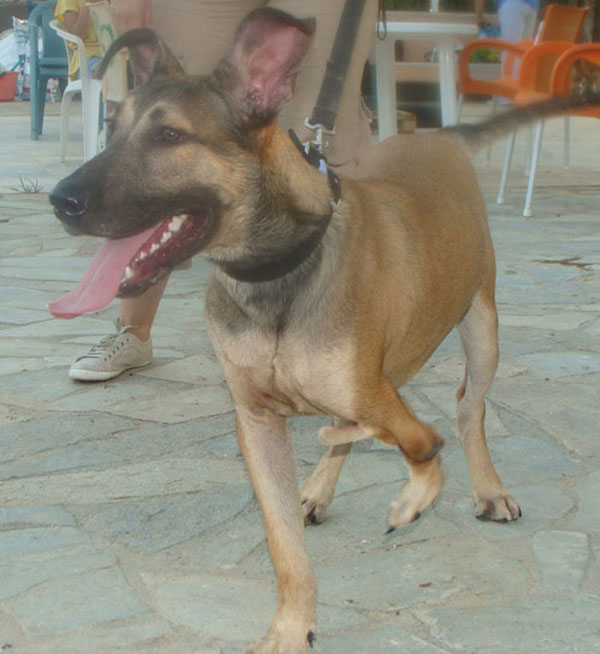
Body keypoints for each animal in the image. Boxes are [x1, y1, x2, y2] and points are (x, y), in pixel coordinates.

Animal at [48, 10, 600, 654]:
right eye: (110, 128)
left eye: (169, 136)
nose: (61, 200)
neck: (278, 273)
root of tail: (439, 135)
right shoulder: (258, 422)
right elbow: (284, 544)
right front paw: (292, 625)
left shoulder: (377, 392)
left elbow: (425, 443)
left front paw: (413, 497)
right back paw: (318, 483)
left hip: (482, 326)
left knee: (468, 407)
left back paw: (486, 486)